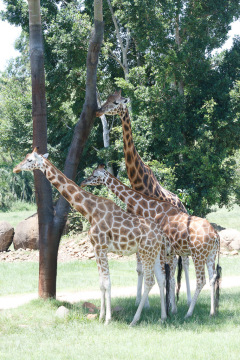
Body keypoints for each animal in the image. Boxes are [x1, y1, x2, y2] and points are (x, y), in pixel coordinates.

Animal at [13, 149, 167, 326]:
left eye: (30, 160)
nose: (15, 168)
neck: (89, 211)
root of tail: (160, 233)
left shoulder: (101, 247)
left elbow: (107, 282)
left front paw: (108, 319)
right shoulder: (96, 248)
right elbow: (101, 283)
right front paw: (100, 317)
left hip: (146, 252)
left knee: (150, 281)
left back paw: (135, 320)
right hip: (155, 253)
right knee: (161, 279)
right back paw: (163, 317)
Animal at [82, 164, 221, 318]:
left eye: (95, 175)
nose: (83, 182)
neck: (152, 208)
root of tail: (216, 235)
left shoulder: (163, 250)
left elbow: (164, 278)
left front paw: (167, 310)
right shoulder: (168, 251)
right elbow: (169, 278)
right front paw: (170, 309)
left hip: (198, 254)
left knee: (200, 279)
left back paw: (189, 313)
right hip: (210, 254)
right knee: (212, 278)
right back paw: (212, 312)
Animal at [95, 89, 191, 304]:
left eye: (116, 102)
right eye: (106, 98)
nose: (98, 111)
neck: (138, 183)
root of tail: (182, 204)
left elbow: (160, 269)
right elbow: (140, 268)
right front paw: (141, 302)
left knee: (182, 263)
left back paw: (183, 301)